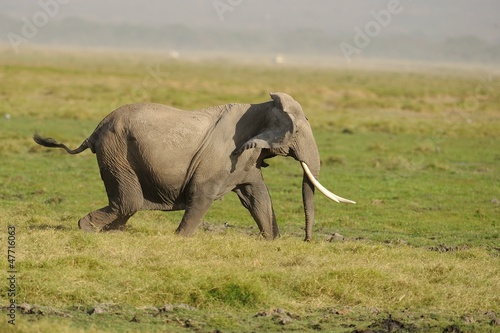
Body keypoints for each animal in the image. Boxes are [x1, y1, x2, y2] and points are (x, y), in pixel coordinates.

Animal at [33, 92, 354, 240]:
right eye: (297, 132)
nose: (307, 241)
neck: (263, 104)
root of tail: (95, 130)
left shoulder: (245, 159)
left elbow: (257, 197)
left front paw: (272, 241)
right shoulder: (222, 156)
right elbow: (203, 195)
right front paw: (180, 239)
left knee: (127, 203)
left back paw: (110, 232)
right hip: (117, 152)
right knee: (128, 201)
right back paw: (87, 229)